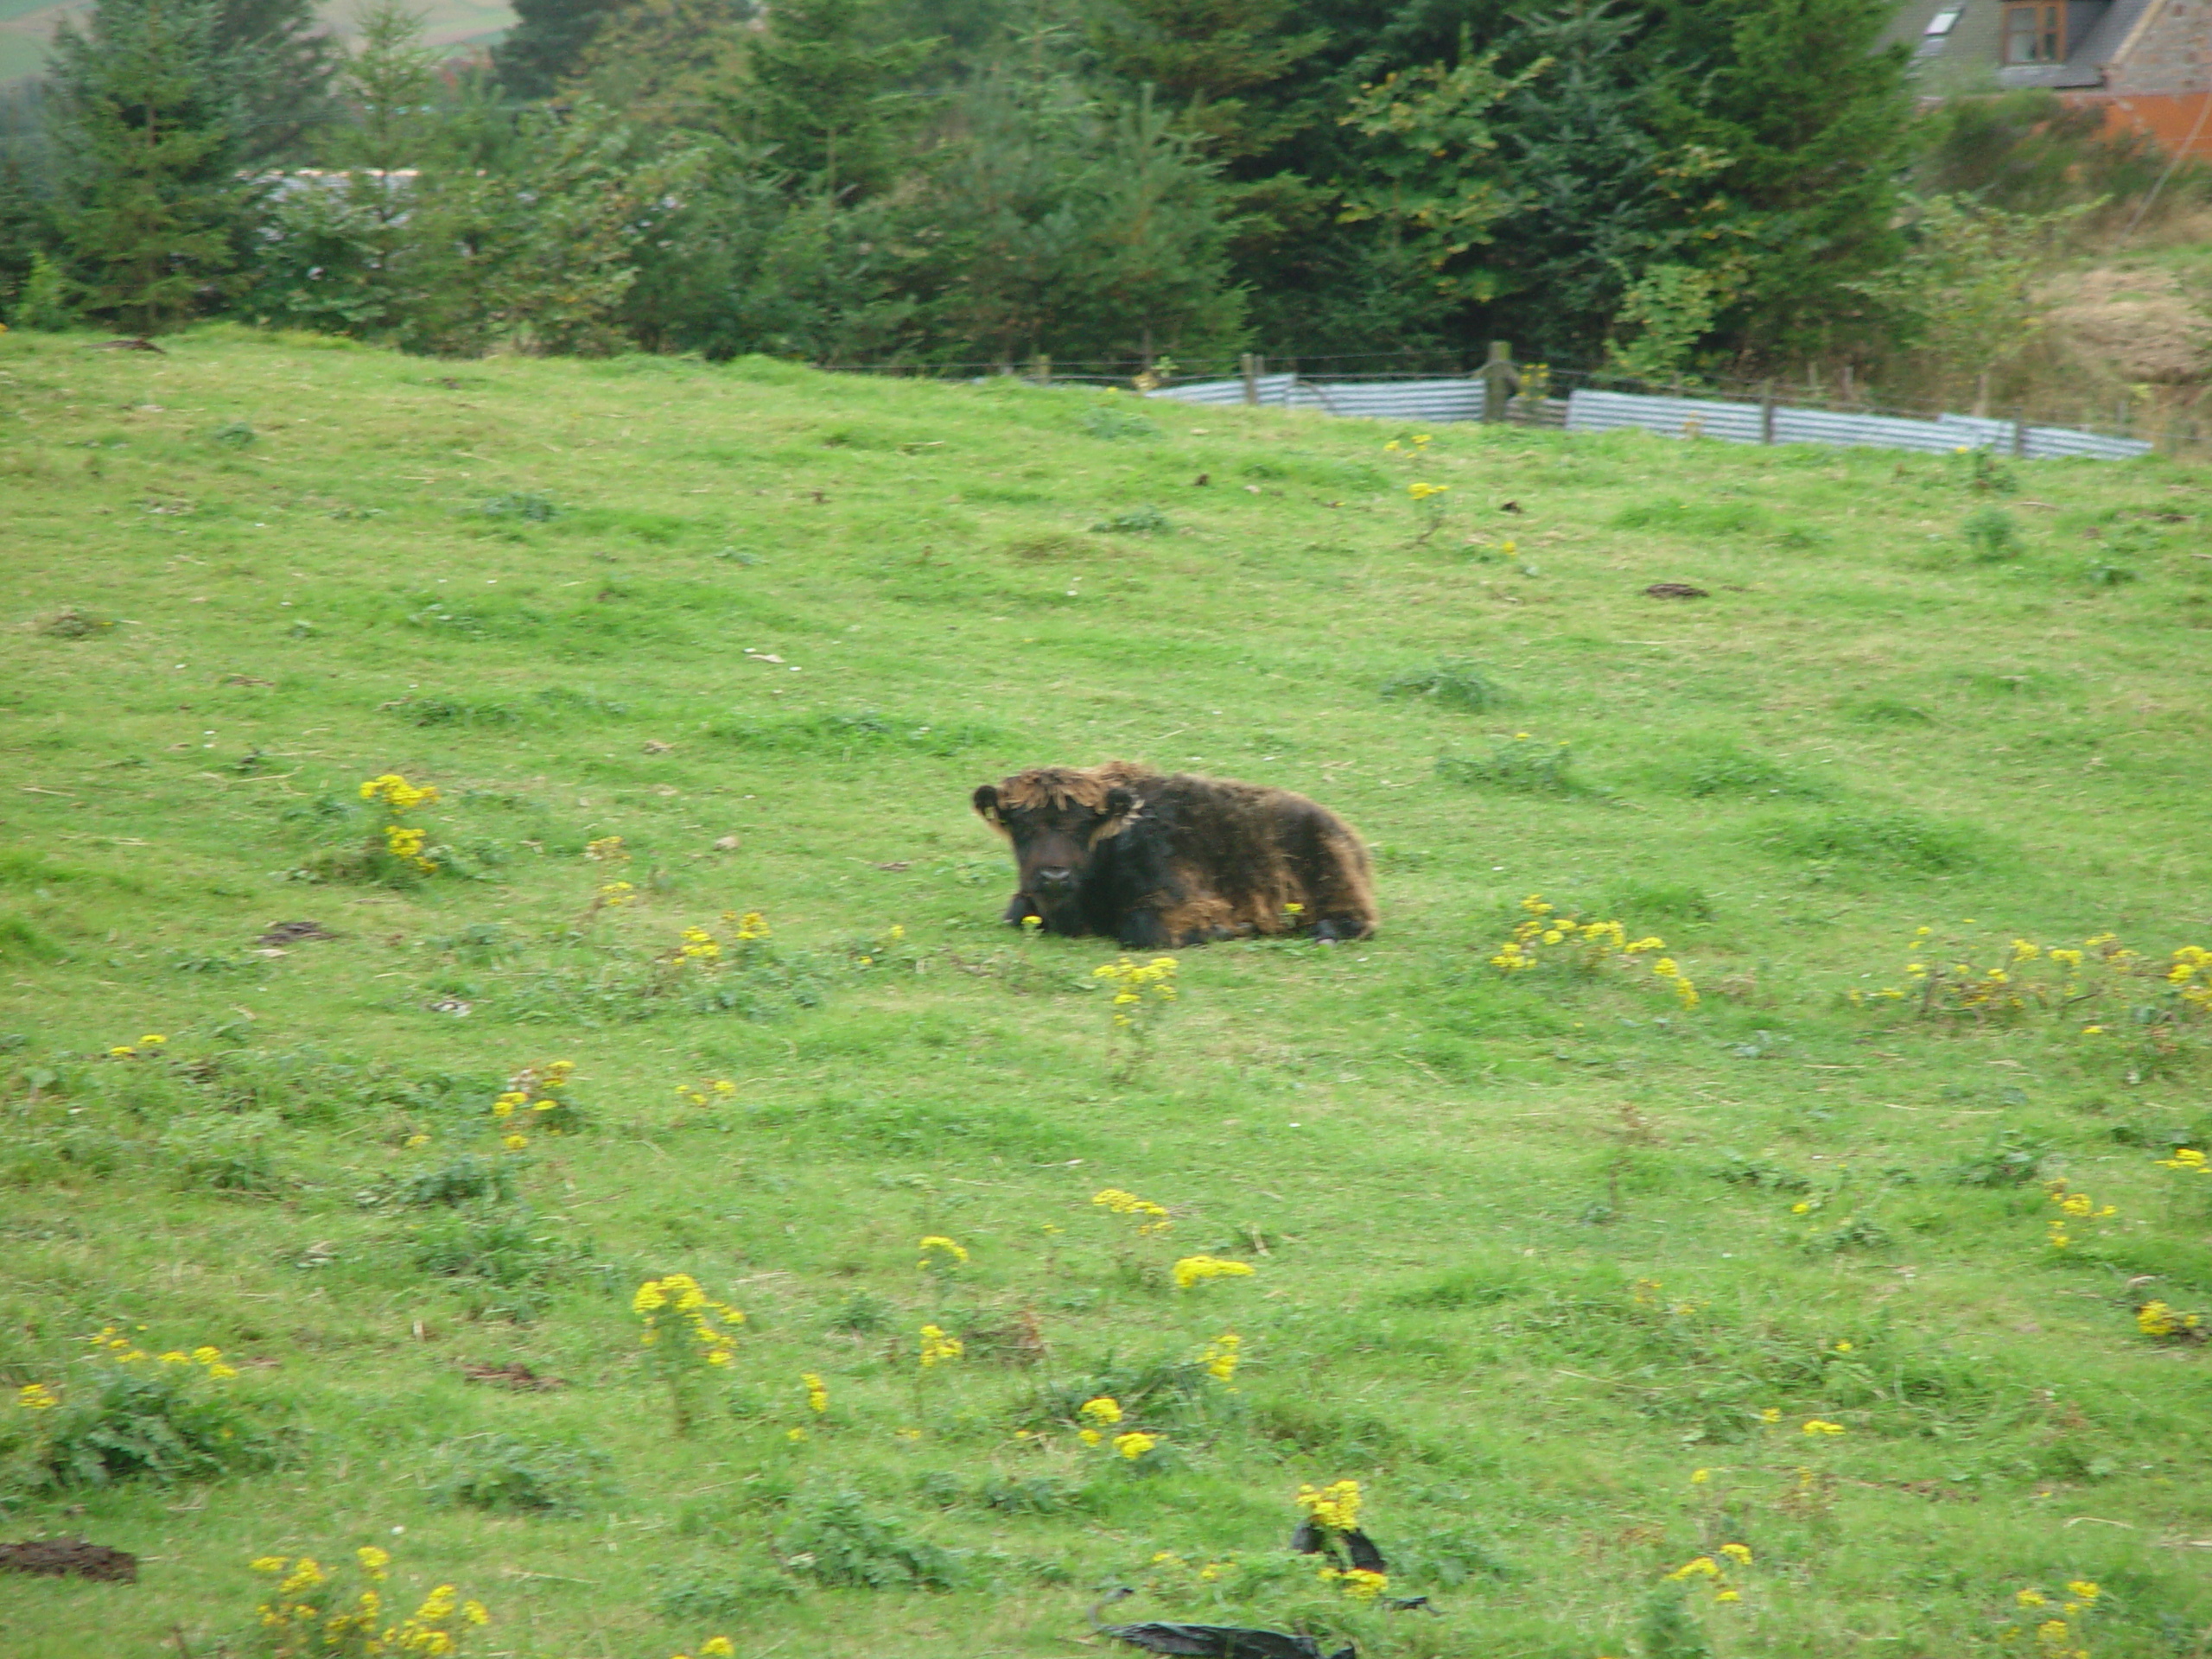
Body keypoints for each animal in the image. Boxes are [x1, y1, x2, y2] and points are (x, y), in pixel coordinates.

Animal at [973, 765, 1371, 946]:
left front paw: (1227, 929)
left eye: (1083, 827)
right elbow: (1015, 913)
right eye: (1022, 826)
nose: (1054, 876)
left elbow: (1143, 928)